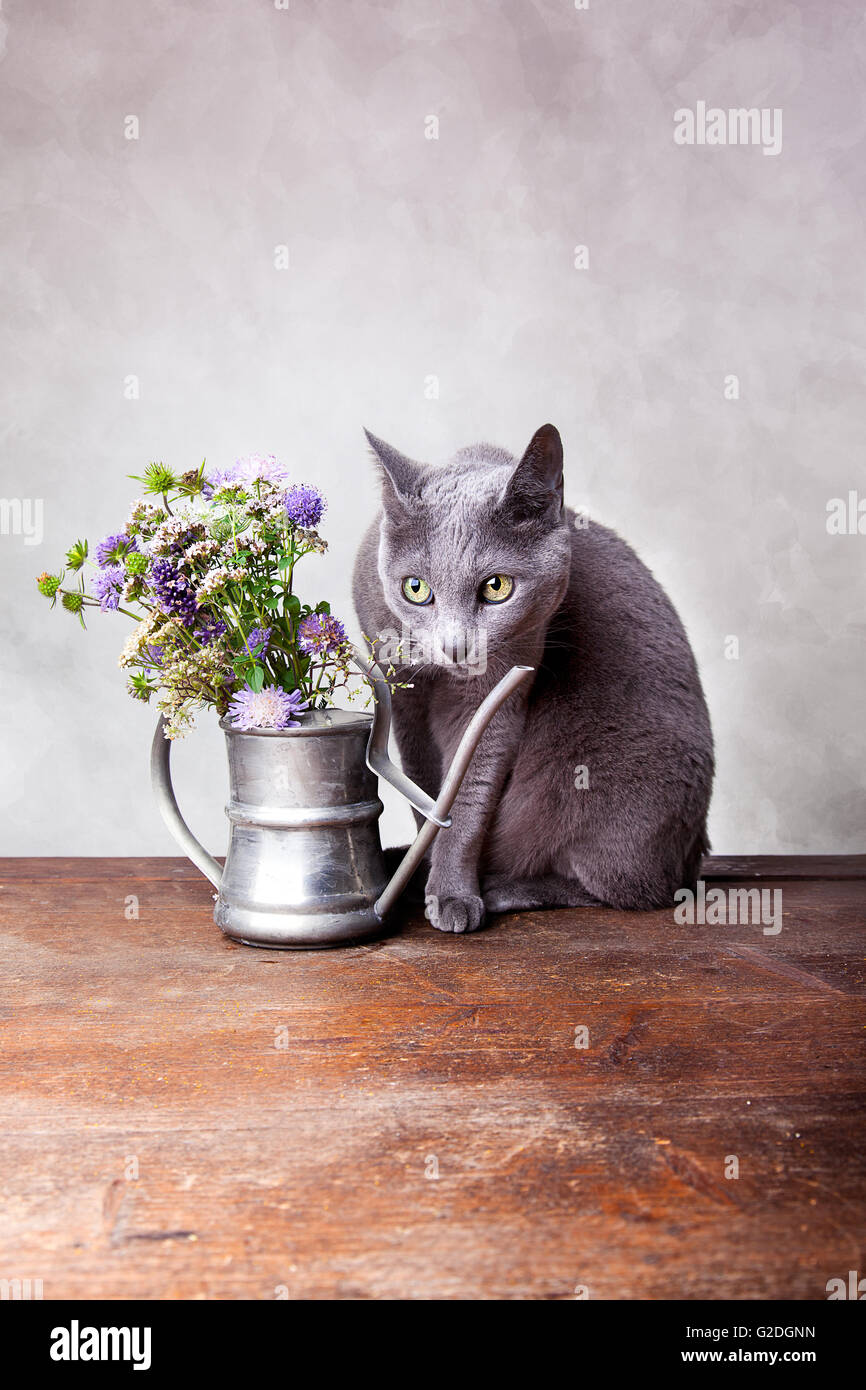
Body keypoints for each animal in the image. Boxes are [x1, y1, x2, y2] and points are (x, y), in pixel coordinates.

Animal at [353, 422, 711, 934]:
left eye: (496, 586)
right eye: (415, 589)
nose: (456, 646)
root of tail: (695, 853)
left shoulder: (502, 690)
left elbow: (466, 798)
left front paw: (451, 894)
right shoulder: (404, 695)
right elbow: (423, 782)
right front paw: (422, 869)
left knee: (625, 889)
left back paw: (501, 888)